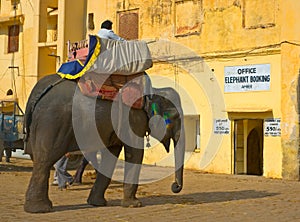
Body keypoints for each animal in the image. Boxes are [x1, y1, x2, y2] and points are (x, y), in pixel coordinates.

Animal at [23, 73, 184, 213]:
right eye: (176, 117)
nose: (174, 186)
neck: (153, 92)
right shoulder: (133, 118)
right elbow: (135, 153)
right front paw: (134, 204)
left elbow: (112, 154)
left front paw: (97, 203)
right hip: (53, 123)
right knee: (45, 160)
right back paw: (40, 209)